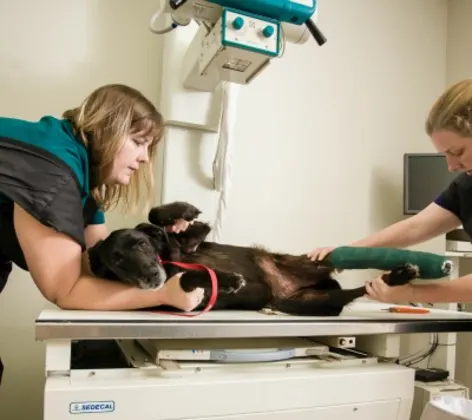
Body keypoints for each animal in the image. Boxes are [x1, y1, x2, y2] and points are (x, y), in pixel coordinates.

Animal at [88, 201, 416, 316]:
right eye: (117, 262)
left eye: (142, 245)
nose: (150, 277)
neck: (167, 263)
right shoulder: (187, 296)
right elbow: (192, 275)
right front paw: (230, 280)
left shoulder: (191, 243)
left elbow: (155, 214)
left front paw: (183, 210)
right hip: (308, 301)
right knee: (358, 291)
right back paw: (396, 277)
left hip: (310, 263)